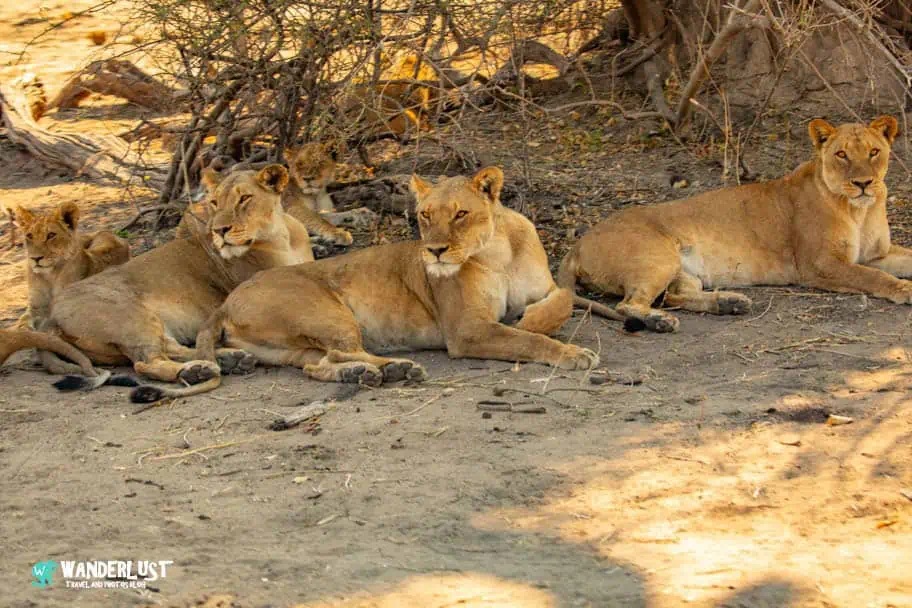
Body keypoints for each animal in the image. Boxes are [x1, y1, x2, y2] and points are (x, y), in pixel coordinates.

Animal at [9, 201, 130, 331]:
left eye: (51, 235)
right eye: (29, 236)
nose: (35, 258)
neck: (49, 276)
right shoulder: (36, 304)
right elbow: (24, 319)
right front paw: (21, 329)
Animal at [46, 164, 313, 394]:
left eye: (244, 198)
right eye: (215, 203)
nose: (219, 231)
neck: (283, 236)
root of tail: (50, 317)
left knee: (176, 348)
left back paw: (228, 360)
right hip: (131, 317)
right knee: (146, 362)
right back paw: (196, 372)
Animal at [130, 166, 598, 402]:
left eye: (460, 214)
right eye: (425, 215)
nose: (434, 252)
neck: (498, 250)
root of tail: (227, 303)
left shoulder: (544, 287)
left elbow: (565, 298)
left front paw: (534, 317)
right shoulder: (468, 330)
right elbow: (529, 341)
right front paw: (572, 353)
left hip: (291, 345)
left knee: (317, 365)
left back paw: (370, 373)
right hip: (327, 312)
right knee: (341, 352)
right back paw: (393, 369)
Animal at [559, 115, 912, 332]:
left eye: (874, 151)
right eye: (841, 154)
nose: (864, 183)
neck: (859, 211)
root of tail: (578, 244)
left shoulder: (876, 253)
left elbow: (898, 260)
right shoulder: (820, 264)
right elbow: (872, 277)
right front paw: (904, 290)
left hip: (682, 271)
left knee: (675, 296)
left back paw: (730, 303)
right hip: (657, 257)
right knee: (628, 304)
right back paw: (661, 322)